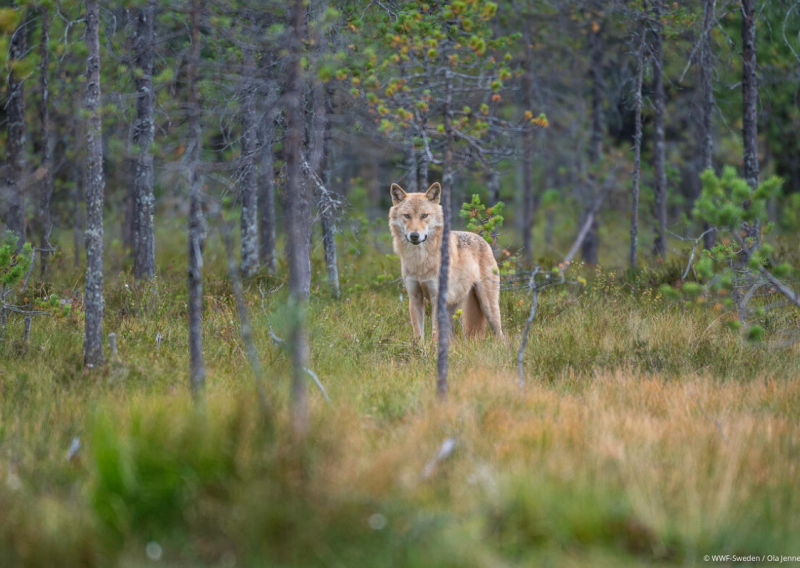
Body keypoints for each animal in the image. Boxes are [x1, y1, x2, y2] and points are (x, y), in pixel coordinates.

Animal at [386, 184, 500, 340]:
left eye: (424, 215)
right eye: (407, 216)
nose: (414, 236)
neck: (420, 260)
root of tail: (482, 239)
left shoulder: (436, 298)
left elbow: (434, 331)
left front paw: (433, 347)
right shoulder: (415, 297)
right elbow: (418, 333)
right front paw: (420, 347)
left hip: (488, 306)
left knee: (500, 333)